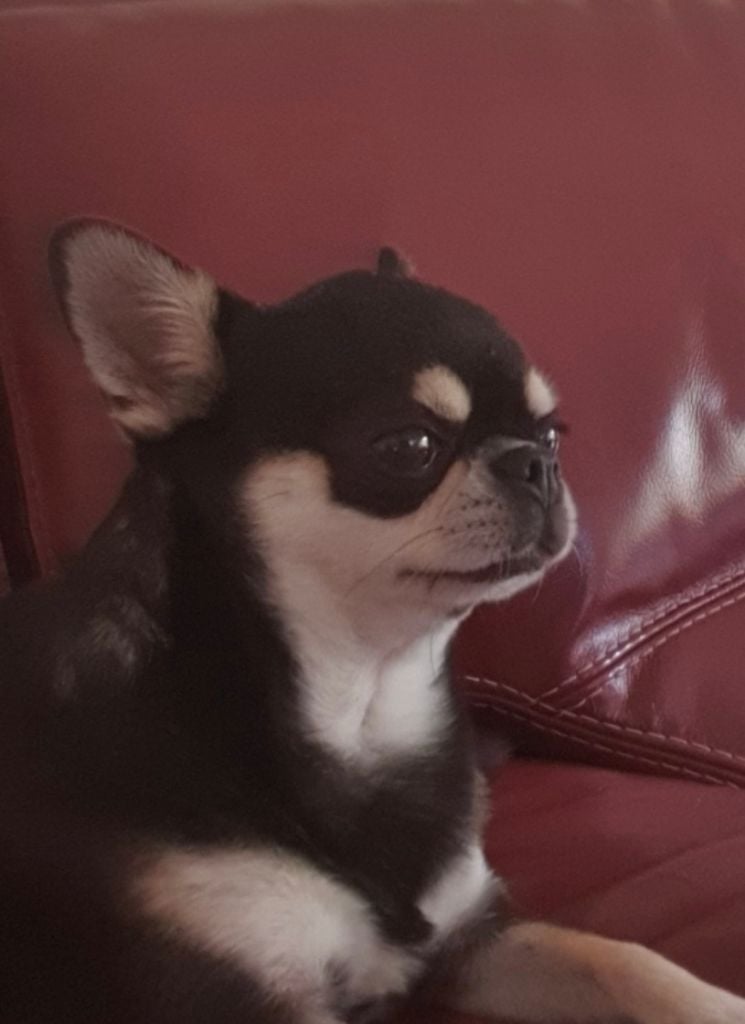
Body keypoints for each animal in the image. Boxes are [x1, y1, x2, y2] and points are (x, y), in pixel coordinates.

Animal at [0, 220, 742, 1023]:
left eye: (551, 435)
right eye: (408, 446)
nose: (535, 465)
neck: (363, 707)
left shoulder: (469, 941)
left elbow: (617, 958)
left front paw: (716, 1002)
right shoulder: (237, 995)